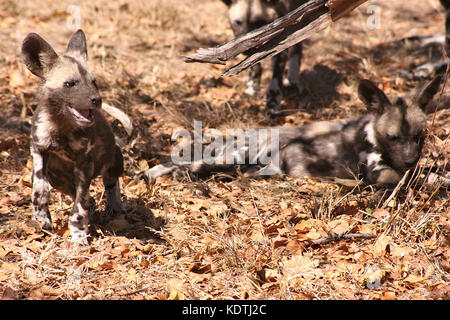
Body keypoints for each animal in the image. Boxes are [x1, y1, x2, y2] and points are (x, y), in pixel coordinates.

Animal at [22, 30, 125, 245]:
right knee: (74, 192)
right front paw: (41, 218)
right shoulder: (38, 151)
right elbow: (39, 188)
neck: (61, 127)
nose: (97, 100)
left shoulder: (84, 166)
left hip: (114, 161)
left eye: (94, 82)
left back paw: (115, 205)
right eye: (70, 84)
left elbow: (79, 208)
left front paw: (79, 237)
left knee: (111, 182)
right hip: (58, 178)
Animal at [142, 77, 446, 186]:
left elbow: (425, 173)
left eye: (419, 136)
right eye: (393, 137)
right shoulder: (377, 172)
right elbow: (404, 178)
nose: (410, 158)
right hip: (238, 154)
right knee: (193, 166)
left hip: (256, 165)